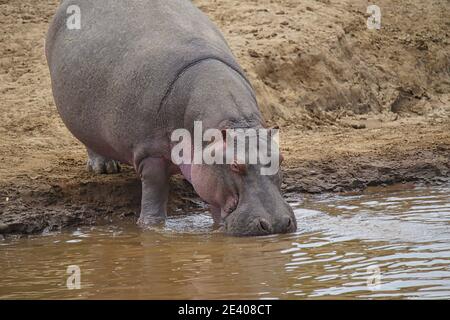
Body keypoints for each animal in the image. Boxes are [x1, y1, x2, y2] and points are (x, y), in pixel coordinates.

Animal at [45, 0, 296, 235]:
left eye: (281, 158)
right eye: (235, 165)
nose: (276, 224)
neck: (235, 125)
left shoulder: (208, 172)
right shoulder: (150, 154)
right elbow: (154, 194)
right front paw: (150, 226)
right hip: (80, 118)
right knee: (90, 142)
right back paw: (105, 168)